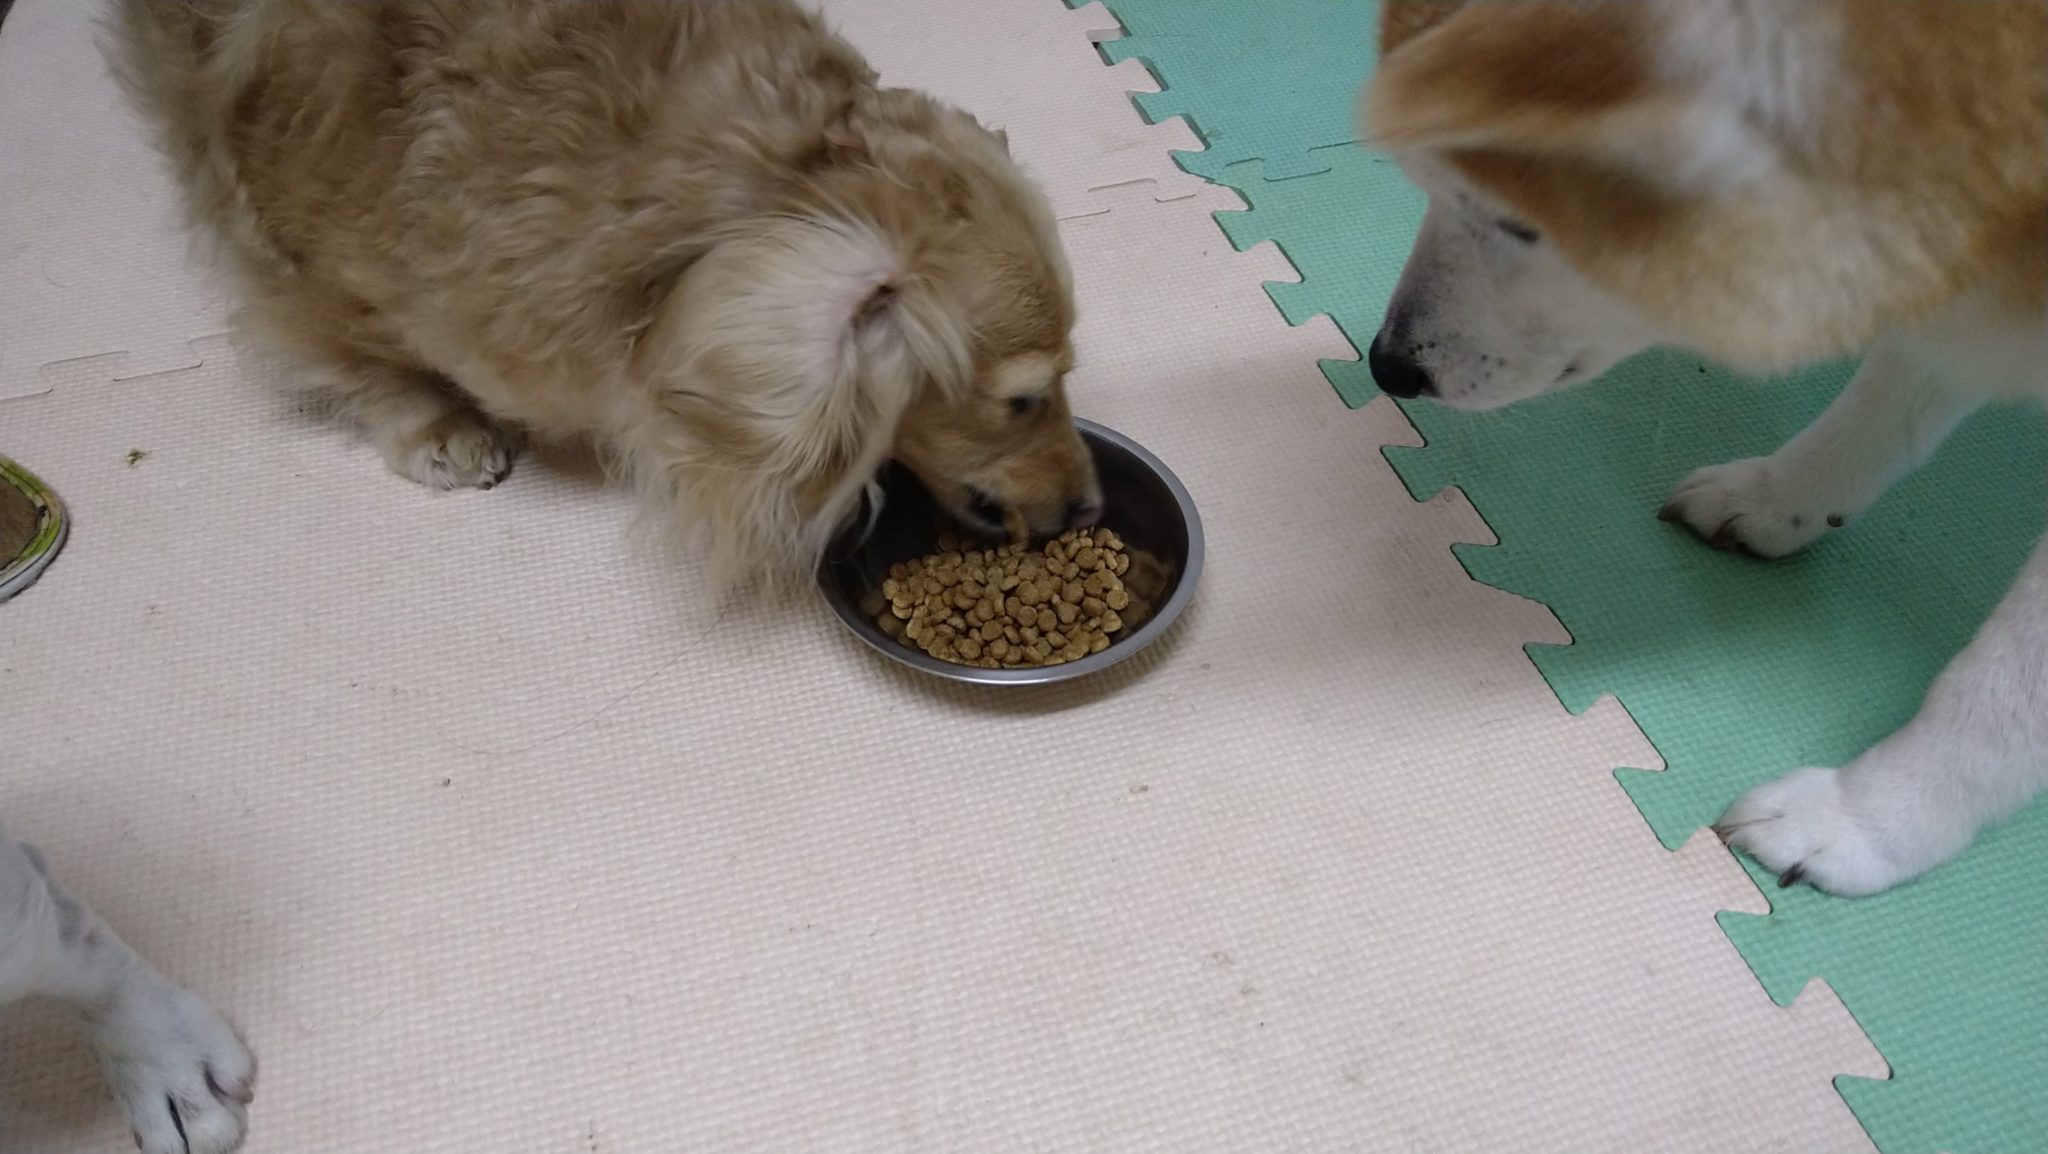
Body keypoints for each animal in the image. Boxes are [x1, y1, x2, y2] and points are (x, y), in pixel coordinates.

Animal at [1364, 0, 2047, 895]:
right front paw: (1782, 497)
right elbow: (1888, 396)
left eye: (1519, 222)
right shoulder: (1944, 279)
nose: (1387, 365)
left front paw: (1868, 819)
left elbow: (2004, 691)